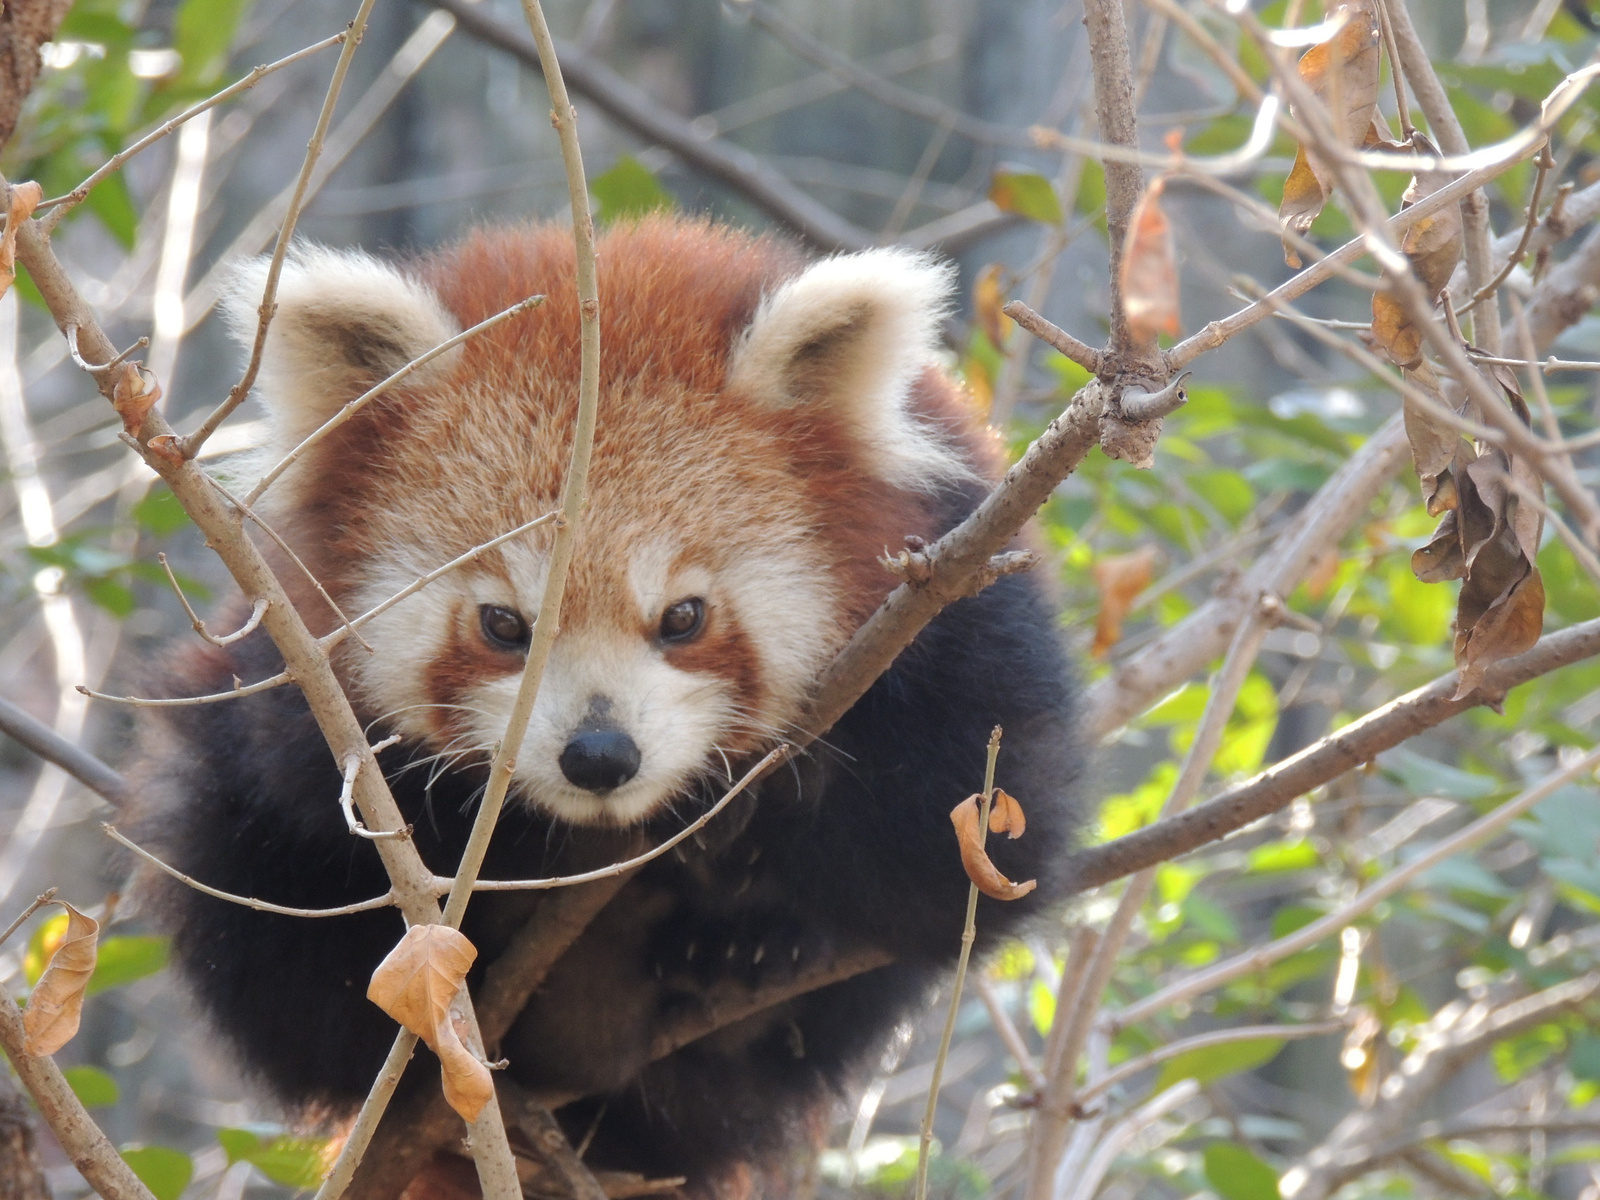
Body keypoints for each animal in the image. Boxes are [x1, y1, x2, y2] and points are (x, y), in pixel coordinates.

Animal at [128, 219, 1088, 1200]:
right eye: (504, 625)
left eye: (684, 618)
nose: (597, 755)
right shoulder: (288, 657)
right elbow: (310, 801)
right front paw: (508, 840)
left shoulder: (963, 604)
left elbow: (968, 850)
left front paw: (751, 813)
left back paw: (741, 958)